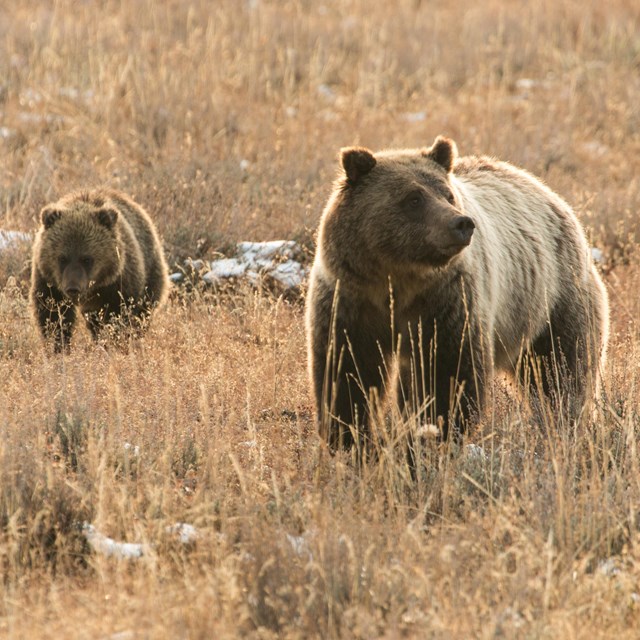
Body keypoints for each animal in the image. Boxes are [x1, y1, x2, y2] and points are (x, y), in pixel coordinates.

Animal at [31, 188, 169, 352]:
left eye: (87, 259)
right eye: (62, 258)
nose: (73, 288)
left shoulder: (118, 283)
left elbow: (118, 315)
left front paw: (113, 343)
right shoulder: (48, 280)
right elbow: (53, 314)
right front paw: (58, 346)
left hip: (151, 271)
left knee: (143, 312)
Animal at [308, 138, 608, 452]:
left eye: (447, 195)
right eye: (413, 198)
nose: (462, 223)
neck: (398, 279)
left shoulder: (446, 303)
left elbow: (448, 374)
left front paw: (431, 436)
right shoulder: (351, 299)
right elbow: (347, 371)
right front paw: (348, 438)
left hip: (552, 301)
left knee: (561, 371)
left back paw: (565, 426)